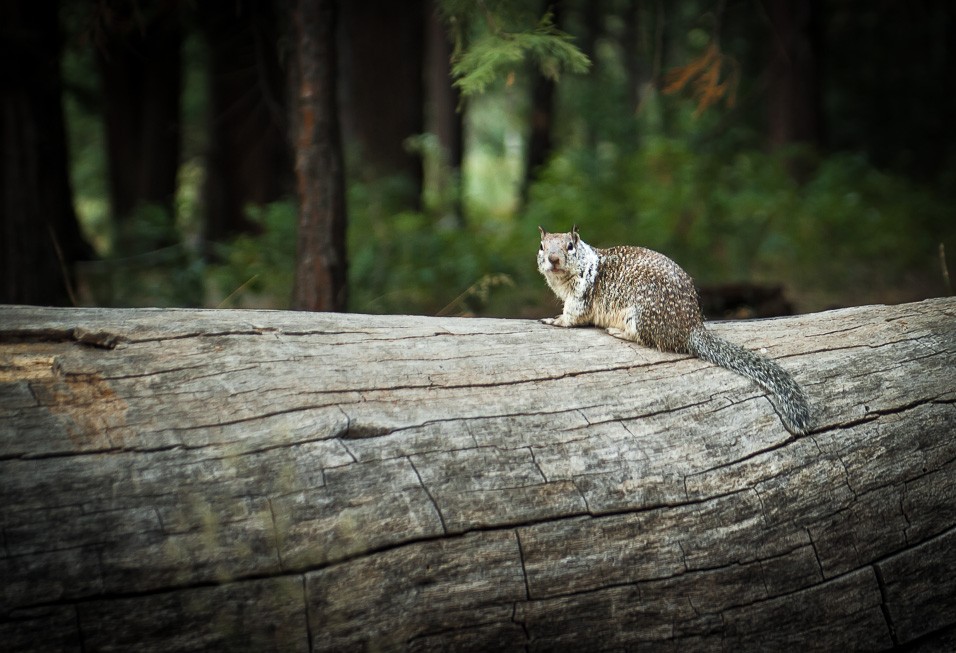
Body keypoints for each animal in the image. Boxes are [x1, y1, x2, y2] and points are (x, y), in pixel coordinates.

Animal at [536, 224, 816, 432]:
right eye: (541, 246)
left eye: (570, 246)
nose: (553, 259)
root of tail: (691, 327)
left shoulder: (580, 296)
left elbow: (572, 316)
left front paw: (553, 320)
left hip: (641, 315)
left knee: (645, 338)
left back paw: (617, 331)